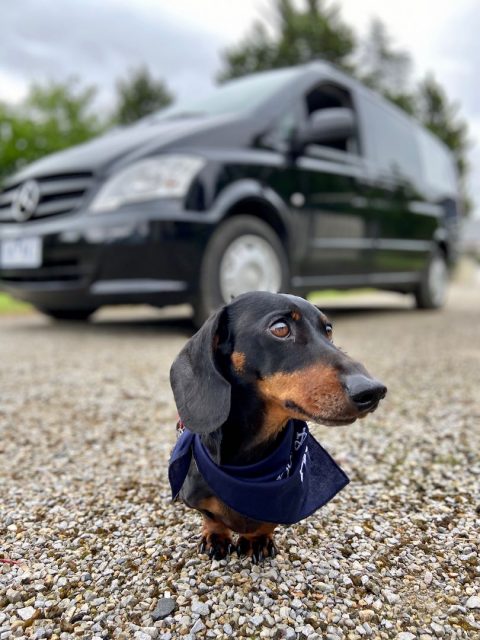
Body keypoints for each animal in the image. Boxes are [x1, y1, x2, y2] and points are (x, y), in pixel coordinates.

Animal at [169, 292, 386, 564]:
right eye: (280, 328)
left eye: (328, 330)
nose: (374, 391)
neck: (249, 472)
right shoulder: (197, 494)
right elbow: (211, 516)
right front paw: (215, 536)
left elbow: (266, 523)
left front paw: (257, 539)